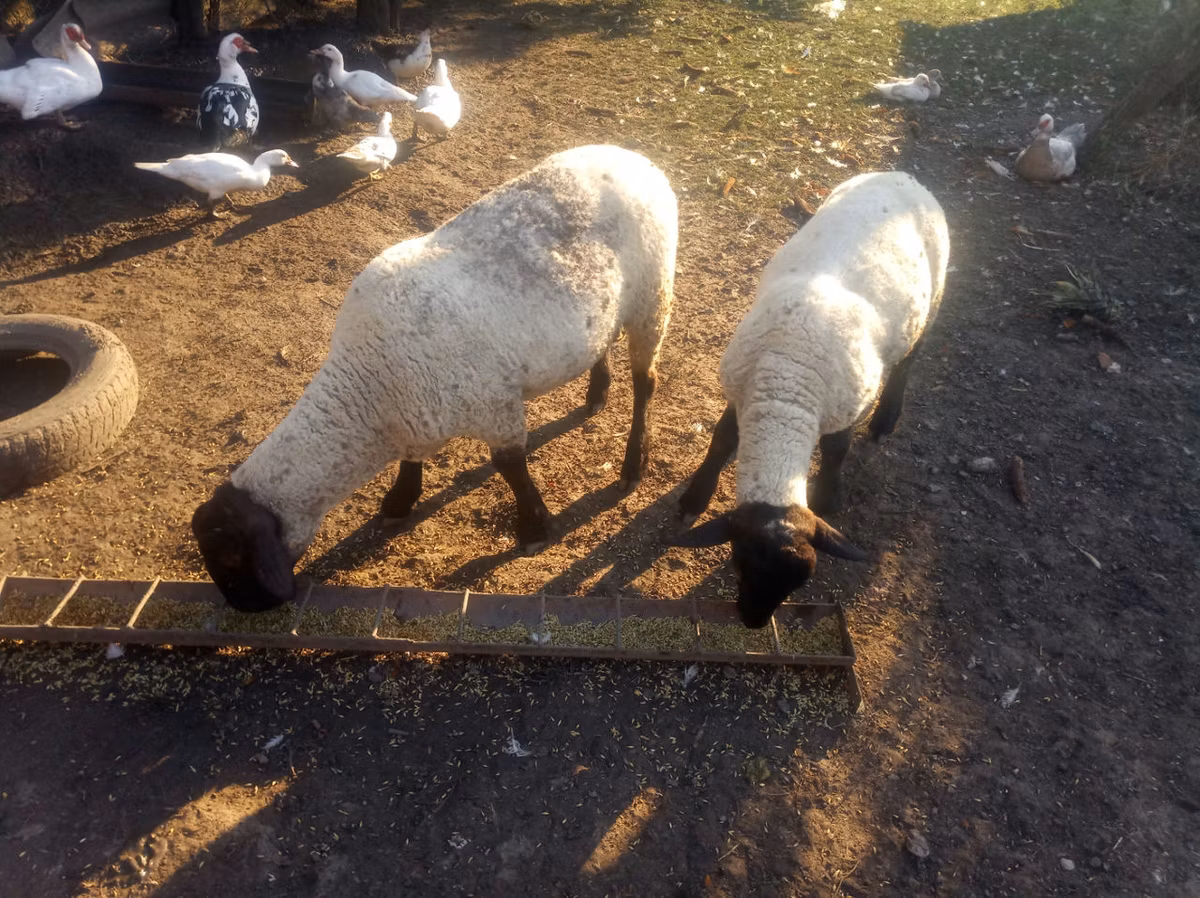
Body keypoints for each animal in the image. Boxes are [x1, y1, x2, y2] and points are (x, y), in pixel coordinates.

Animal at [192, 144, 678, 612]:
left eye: (231, 555)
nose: (246, 608)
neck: (371, 388)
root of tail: (637, 158)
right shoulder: (420, 413)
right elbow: (413, 460)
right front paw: (399, 500)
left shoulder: (495, 405)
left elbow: (510, 467)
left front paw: (534, 528)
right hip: (608, 307)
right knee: (602, 341)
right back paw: (596, 395)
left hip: (653, 293)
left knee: (646, 383)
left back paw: (634, 463)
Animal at [671, 171, 949, 628]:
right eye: (739, 564)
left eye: (799, 586)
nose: (753, 622)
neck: (788, 384)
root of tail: (903, 175)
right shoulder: (740, 390)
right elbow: (722, 438)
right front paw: (695, 498)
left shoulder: (844, 407)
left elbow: (837, 449)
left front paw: (829, 498)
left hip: (935, 294)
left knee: (909, 361)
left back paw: (886, 418)